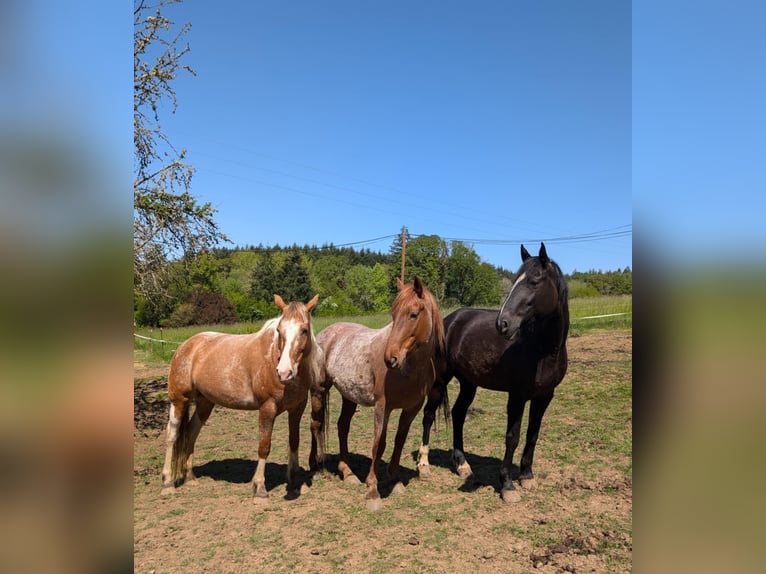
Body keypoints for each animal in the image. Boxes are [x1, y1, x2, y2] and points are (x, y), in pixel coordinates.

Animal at [160, 294, 324, 501]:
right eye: (279, 330)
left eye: (304, 330)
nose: (284, 372)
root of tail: (185, 346)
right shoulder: (267, 408)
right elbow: (264, 446)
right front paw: (259, 489)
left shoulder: (297, 408)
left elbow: (294, 441)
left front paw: (294, 482)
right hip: (179, 401)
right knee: (172, 435)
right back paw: (167, 483)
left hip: (205, 403)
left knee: (190, 432)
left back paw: (190, 477)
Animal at [309, 277, 445, 510]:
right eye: (393, 314)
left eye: (413, 314)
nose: (390, 358)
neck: (409, 369)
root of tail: (326, 333)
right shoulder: (383, 407)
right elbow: (378, 444)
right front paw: (372, 490)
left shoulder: (412, 408)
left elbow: (399, 440)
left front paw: (395, 480)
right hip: (319, 391)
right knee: (315, 424)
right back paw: (316, 468)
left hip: (349, 396)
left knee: (342, 426)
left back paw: (348, 473)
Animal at [419, 243, 569, 503]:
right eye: (515, 280)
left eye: (535, 281)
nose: (503, 324)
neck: (542, 349)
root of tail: (449, 321)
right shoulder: (517, 396)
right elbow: (513, 437)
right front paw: (507, 485)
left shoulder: (544, 397)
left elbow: (533, 434)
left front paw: (527, 476)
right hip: (439, 381)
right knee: (428, 415)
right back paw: (423, 466)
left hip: (469, 383)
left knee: (458, 414)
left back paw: (462, 465)